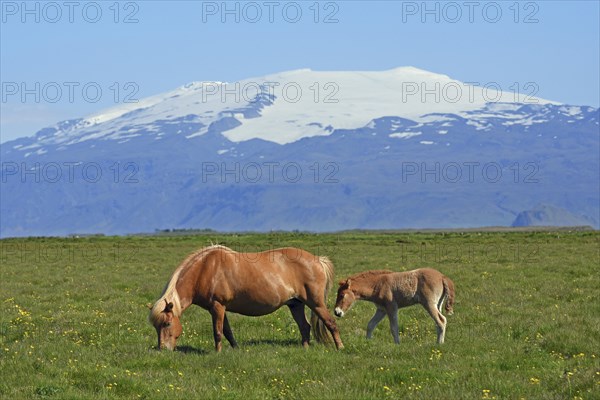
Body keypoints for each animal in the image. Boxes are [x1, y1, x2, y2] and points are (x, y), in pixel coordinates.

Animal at [148, 245, 344, 352]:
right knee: (305, 326)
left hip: (316, 303)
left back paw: (340, 347)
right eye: (156, 326)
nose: (163, 349)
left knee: (331, 323)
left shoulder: (217, 307)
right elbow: (227, 331)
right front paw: (235, 349)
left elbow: (218, 332)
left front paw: (217, 353)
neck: (205, 269)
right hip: (296, 304)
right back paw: (305, 348)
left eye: (166, 324)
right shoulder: (219, 308)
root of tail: (318, 260)